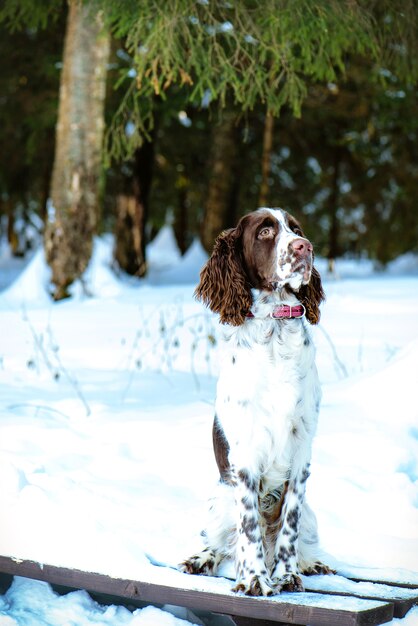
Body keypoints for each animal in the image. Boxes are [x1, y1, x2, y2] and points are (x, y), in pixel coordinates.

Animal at [180, 208, 334, 596]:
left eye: (296, 228)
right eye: (265, 231)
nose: (304, 246)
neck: (275, 330)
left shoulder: (301, 451)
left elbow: (289, 524)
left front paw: (287, 575)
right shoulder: (245, 454)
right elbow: (248, 527)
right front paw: (254, 579)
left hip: (311, 513)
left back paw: (311, 564)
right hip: (219, 500)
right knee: (221, 542)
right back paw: (200, 560)